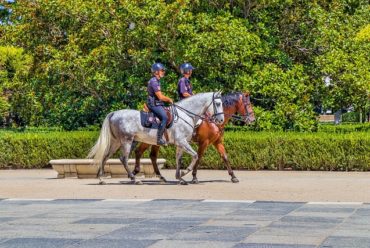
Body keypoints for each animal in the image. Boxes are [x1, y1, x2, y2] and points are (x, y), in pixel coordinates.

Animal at [88, 91, 224, 184]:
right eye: (218, 103)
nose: (221, 120)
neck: (185, 115)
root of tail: (114, 113)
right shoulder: (182, 142)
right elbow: (195, 155)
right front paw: (185, 172)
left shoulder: (181, 144)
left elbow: (179, 160)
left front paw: (180, 178)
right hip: (127, 141)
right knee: (124, 158)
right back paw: (134, 178)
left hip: (116, 142)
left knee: (106, 156)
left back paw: (101, 179)